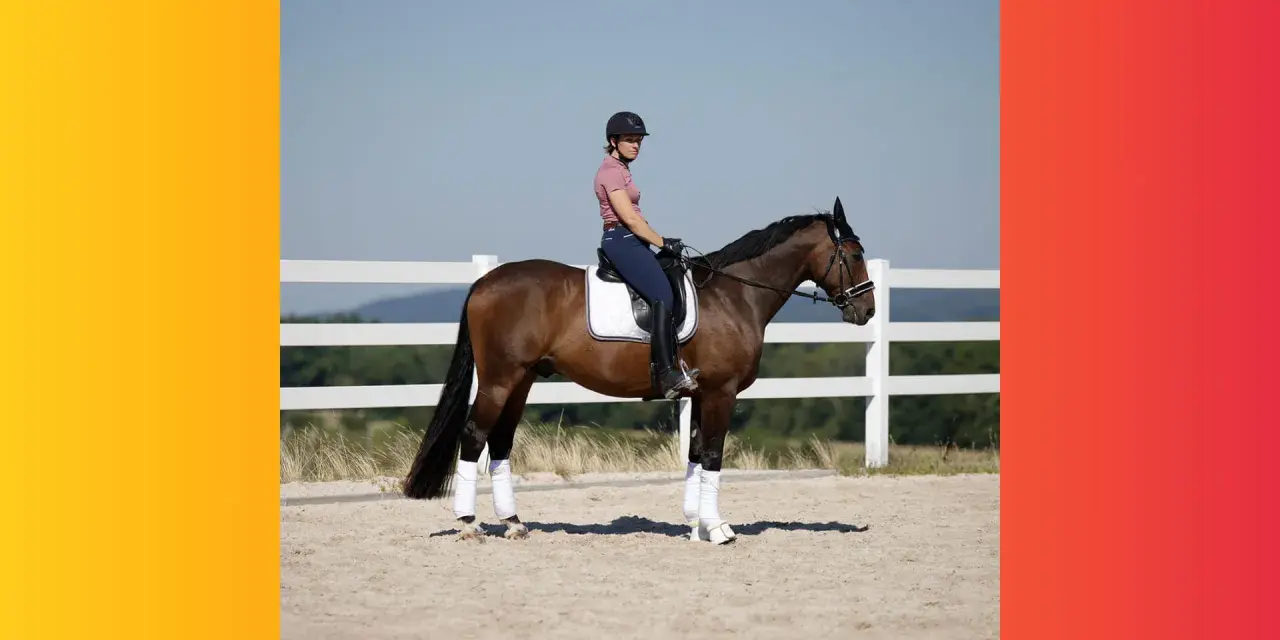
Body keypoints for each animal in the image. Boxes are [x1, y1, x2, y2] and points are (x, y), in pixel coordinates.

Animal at [403, 196, 876, 545]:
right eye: (854, 254)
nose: (868, 310)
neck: (734, 295)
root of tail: (483, 284)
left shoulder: (701, 394)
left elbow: (696, 454)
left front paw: (695, 525)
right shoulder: (721, 393)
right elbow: (713, 456)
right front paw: (719, 529)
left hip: (522, 381)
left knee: (500, 442)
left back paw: (515, 523)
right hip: (500, 381)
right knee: (474, 437)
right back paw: (469, 525)